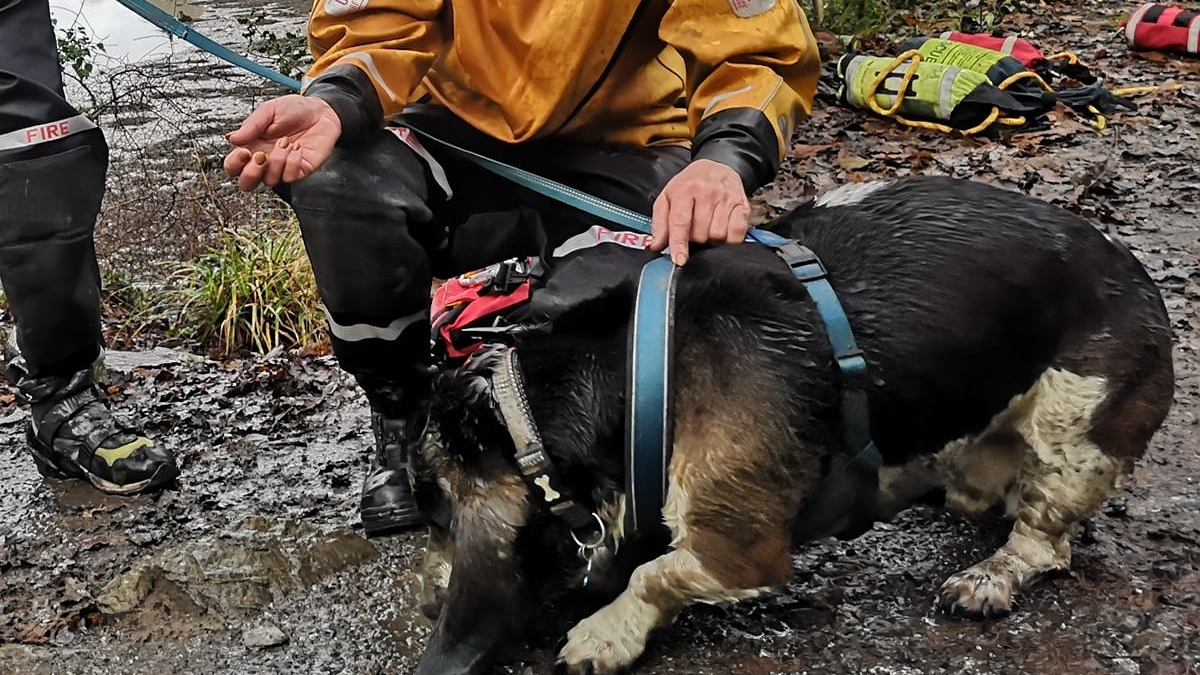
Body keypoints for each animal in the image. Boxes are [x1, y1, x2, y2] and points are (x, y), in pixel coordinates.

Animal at [408, 174, 1166, 672]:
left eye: (438, 513)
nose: (427, 596)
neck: (632, 369)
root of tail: (1136, 272)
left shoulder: (739, 550)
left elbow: (655, 572)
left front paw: (603, 632)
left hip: (1075, 441)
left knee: (1043, 541)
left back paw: (988, 577)